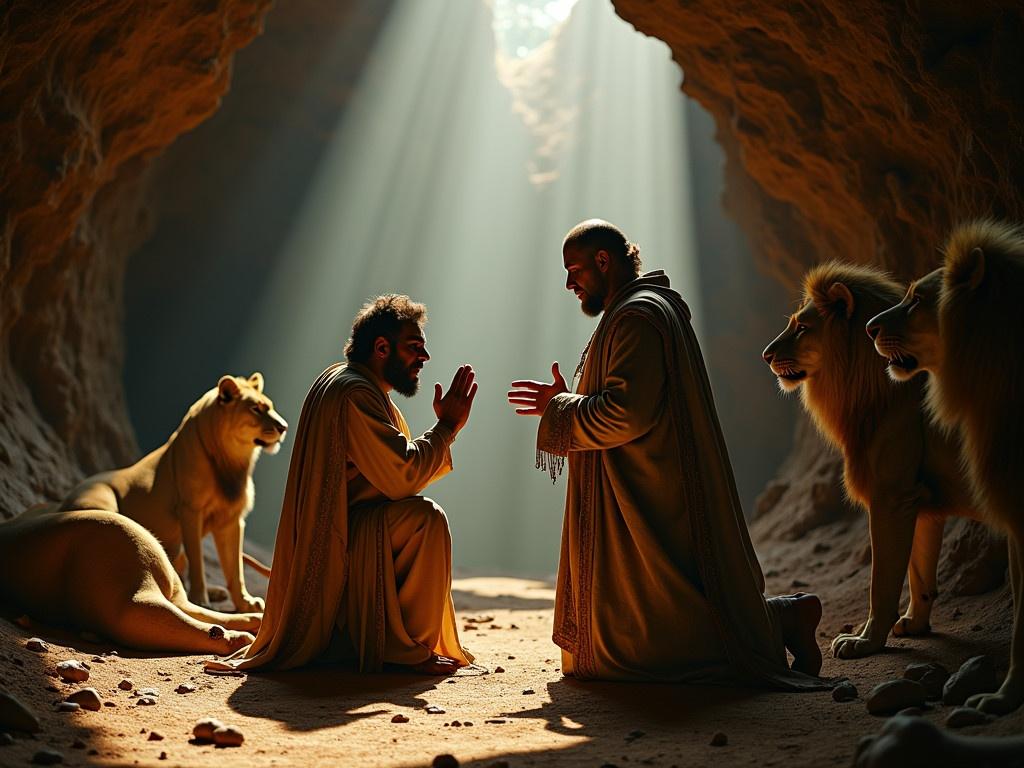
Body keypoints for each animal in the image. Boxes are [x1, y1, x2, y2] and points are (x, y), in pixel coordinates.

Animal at [0, 372, 284, 655]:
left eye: (270, 406)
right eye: (256, 409)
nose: (283, 428)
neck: (232, 463)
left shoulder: (233, 519)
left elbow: (234, 567)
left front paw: (245, 601)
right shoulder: (190, 512)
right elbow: (200, 564)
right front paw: (206, 596)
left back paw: (245, 615)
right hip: (104, 506)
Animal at [761, 264, 974, 663]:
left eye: (802, 327)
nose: (765, 355)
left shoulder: (891, 496)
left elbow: (883, 581)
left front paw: (866, 640)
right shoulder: (919, 501)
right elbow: (920, 572)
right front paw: (914, 624)